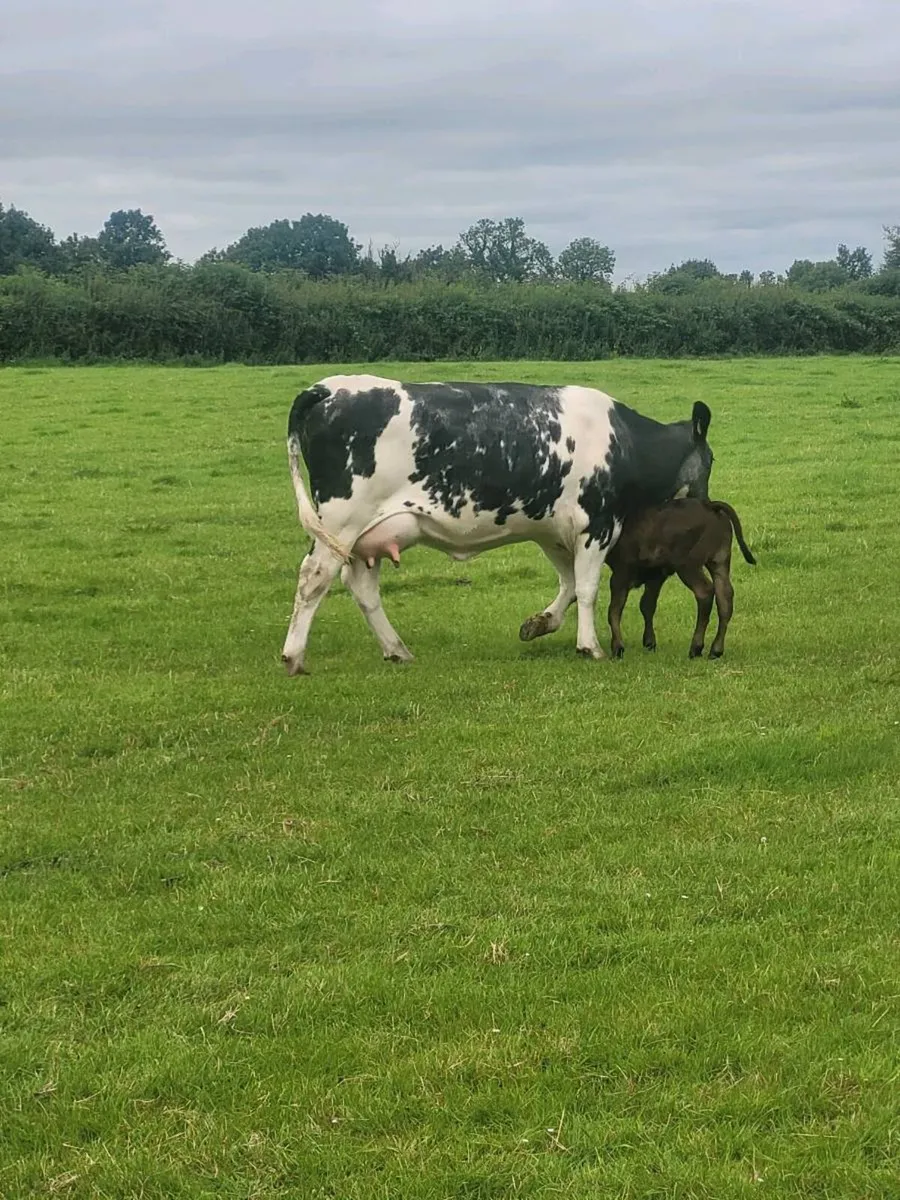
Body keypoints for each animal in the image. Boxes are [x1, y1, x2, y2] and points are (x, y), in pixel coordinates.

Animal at [280, 375, 714, 674]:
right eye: (710, 461)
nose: (708, 504)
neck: (625, 442)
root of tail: (327, 388)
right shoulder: (597, 524)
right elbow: (587, 589)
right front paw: (590, 646)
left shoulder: (554, 531)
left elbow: (570, 584)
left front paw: (540, 623)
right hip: (341, 521)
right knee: (313, 578)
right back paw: (294, 656)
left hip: (365, 535)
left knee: (361, 587)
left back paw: (397, 650)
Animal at [605, 498, 756, 660]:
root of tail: (709, 505)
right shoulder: (655, 576)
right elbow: (647, 605)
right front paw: (649, 643)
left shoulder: (621, 573)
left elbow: (614, 610)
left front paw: (617, 648)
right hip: (719, 561)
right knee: (725, 598)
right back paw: (715, 650)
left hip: (687, 566)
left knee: (705, 592)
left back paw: (696, 648)